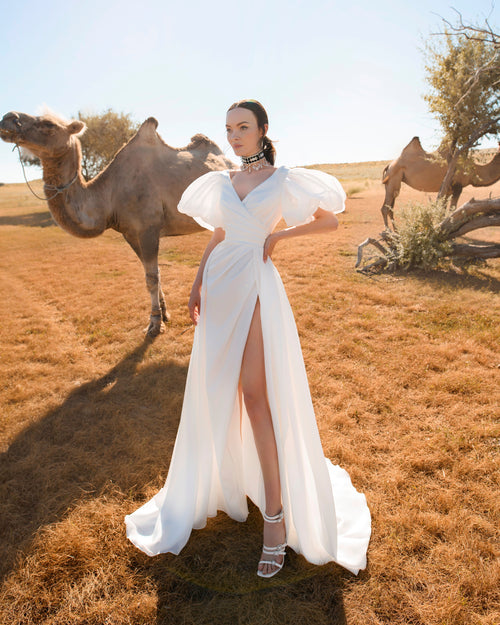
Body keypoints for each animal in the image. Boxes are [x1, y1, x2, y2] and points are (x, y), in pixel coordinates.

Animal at [0, 111, 234, 336]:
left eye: (48, 124)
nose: (8, 118)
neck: (109, 196)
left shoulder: (148, 228)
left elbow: (151, 278)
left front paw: (154, 324)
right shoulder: (130, 233)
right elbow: (153, 274)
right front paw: (165, 314)